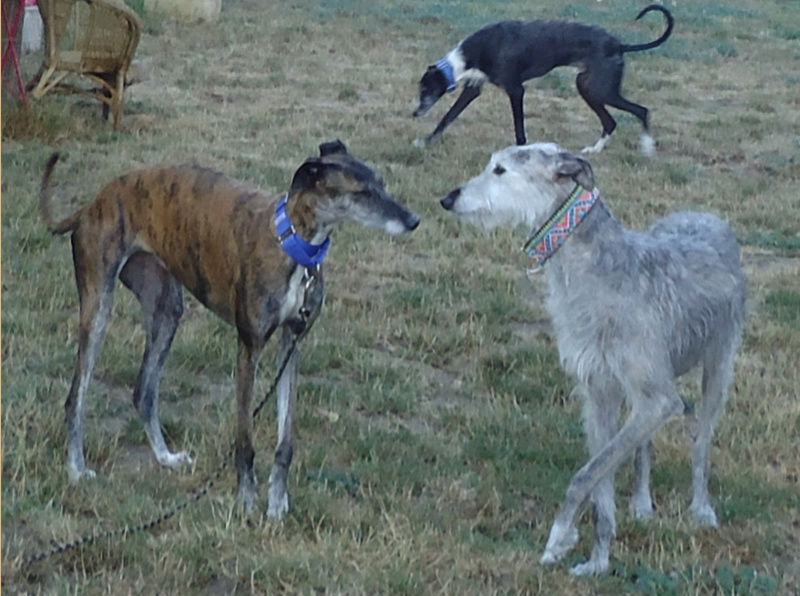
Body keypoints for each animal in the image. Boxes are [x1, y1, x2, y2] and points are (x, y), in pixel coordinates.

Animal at [416, 4, 672, 154]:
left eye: (425, 91)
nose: (415, 113)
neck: (471, 55)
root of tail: (619, 45)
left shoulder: (515, 90)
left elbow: (519, 128)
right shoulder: (473, 89)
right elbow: (448, 117)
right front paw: (425, 142)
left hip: (602, 90)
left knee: (641, 111)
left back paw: (647, 148)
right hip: (586, 87)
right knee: (610, 122)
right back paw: (594, 150)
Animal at [440, 142, 748, 576]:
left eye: (499, 169)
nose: (448, 199)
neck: (596, 267)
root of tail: (706, 214)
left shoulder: (653, 396)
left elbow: (587, 474)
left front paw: (559, 536)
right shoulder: (600, 391)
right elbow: (601, 479)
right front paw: (598, 560)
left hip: (718, 367)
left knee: (701, 440)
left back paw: (701, 508)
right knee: (644, 444)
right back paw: (641, 502)